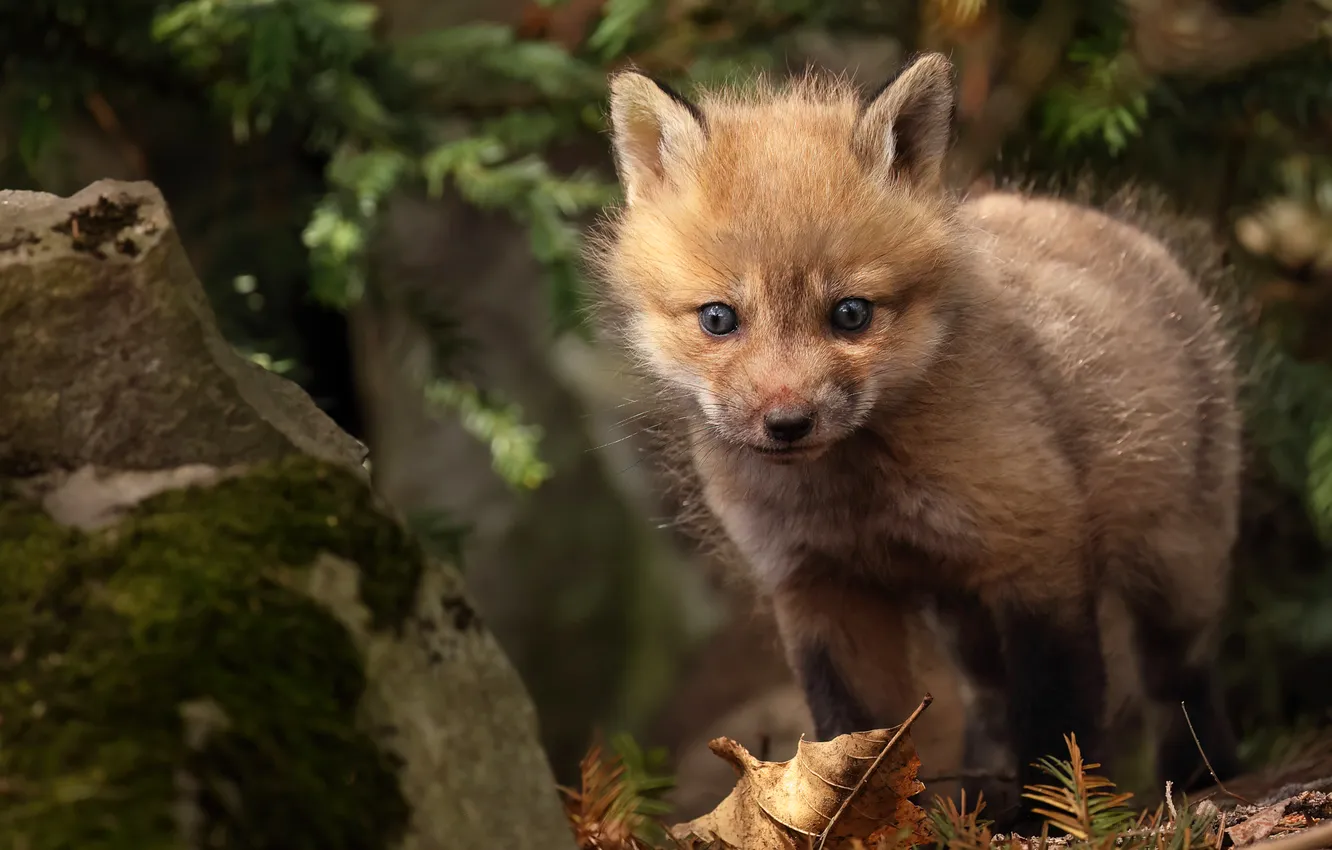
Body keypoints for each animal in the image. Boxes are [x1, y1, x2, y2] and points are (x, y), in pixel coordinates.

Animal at [586, 52, 1242, 829]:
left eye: (850, 314)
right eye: (719, 318)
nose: (788, 421)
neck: (855, 497)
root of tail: (1104, 224)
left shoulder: (1037, 552)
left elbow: (1058, 716)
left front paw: (1060, 817)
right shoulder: (818, 586)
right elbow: (847, 732)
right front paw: (841, 825)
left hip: (1173, 564)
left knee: (1178, 673)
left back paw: (1201, 774)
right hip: (963, 614)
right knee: (989, 700)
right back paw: (983, 802)